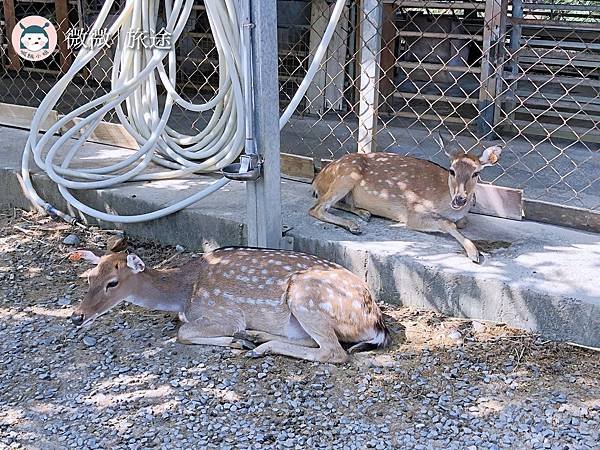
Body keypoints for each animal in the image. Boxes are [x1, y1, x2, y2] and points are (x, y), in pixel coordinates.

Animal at [69, 244, 394, 364]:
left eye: (112, 283)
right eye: (90, 277)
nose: (76, 316)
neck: (183, 294)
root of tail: (377, 324)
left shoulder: (224, 312)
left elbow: (182, 333)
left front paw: (236, 341)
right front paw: (241, 339)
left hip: (305, 297)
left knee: (335, 352)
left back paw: (257, 346)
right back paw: (257, 337)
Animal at [310, 135, 502, 266]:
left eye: (476, 173)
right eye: (452, 170)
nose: (460, 199)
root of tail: (318, 177)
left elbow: (461, 222)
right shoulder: (413, 212)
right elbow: (447, 223)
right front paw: (474, 253)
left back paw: (364, 214)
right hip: (347, 174)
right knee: (316, 208)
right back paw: (354, 225)